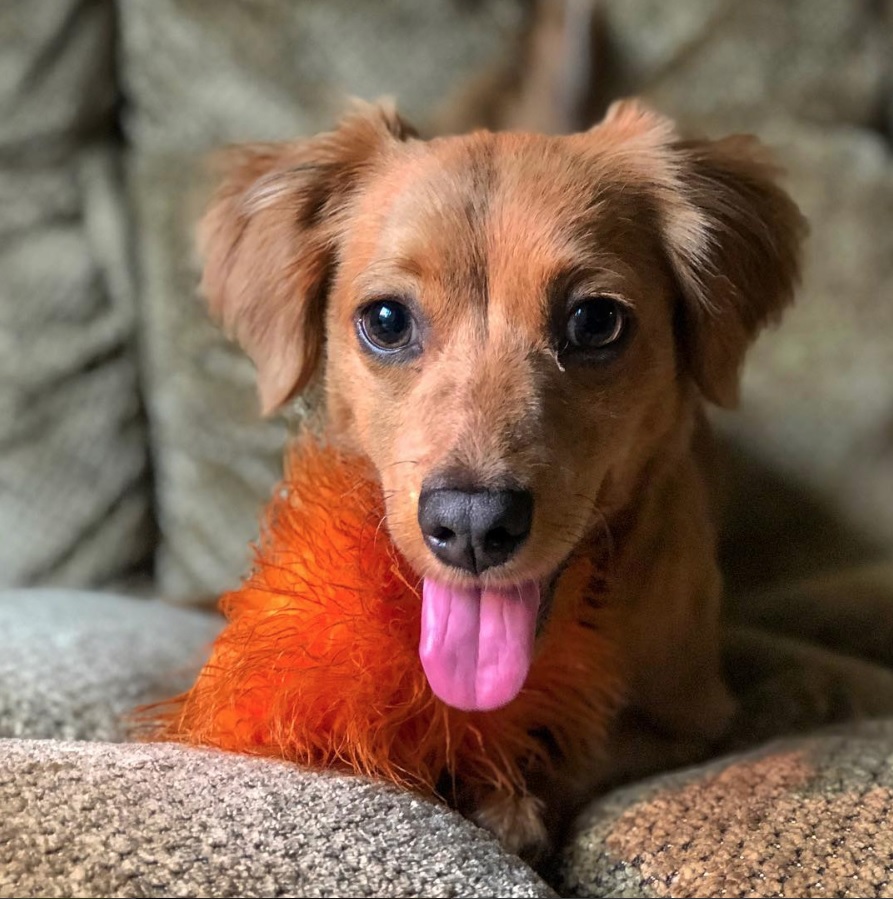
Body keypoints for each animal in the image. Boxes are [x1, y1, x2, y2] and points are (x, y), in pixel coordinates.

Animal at [197, 96, 808, 856]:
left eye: (596, 320)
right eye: (386, 319)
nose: (471, 523)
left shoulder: (695, 719)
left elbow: (587, 745)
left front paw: (507, 791)